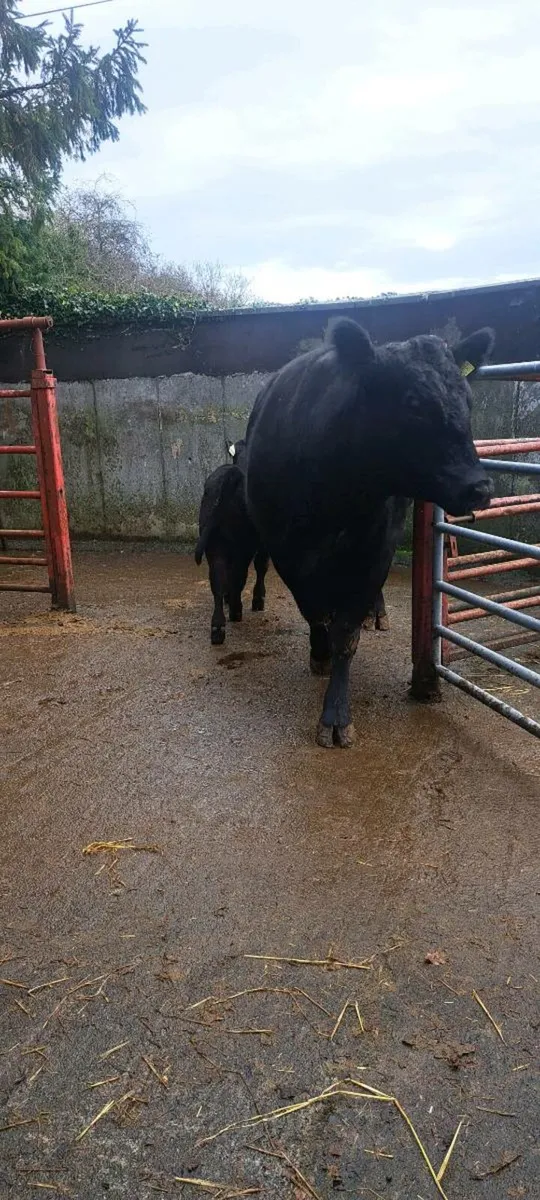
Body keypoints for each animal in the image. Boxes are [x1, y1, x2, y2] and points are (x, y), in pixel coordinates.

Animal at [195, 440, 269, 645]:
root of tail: (231, 475)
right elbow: (261, 566)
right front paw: (258, 599)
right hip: (243, 545)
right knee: (239, 575)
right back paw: (236, 610)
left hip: (214, 544)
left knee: (218, 577)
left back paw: (218, 625)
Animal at [244, 318, 494, 748]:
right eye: (412, 402)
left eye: (468, 399)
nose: (478, 487)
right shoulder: (285, 550)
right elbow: (314, 612)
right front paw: (319, 653)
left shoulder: (375, 548)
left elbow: (346, 633)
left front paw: (336, 716)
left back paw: (375, 615)